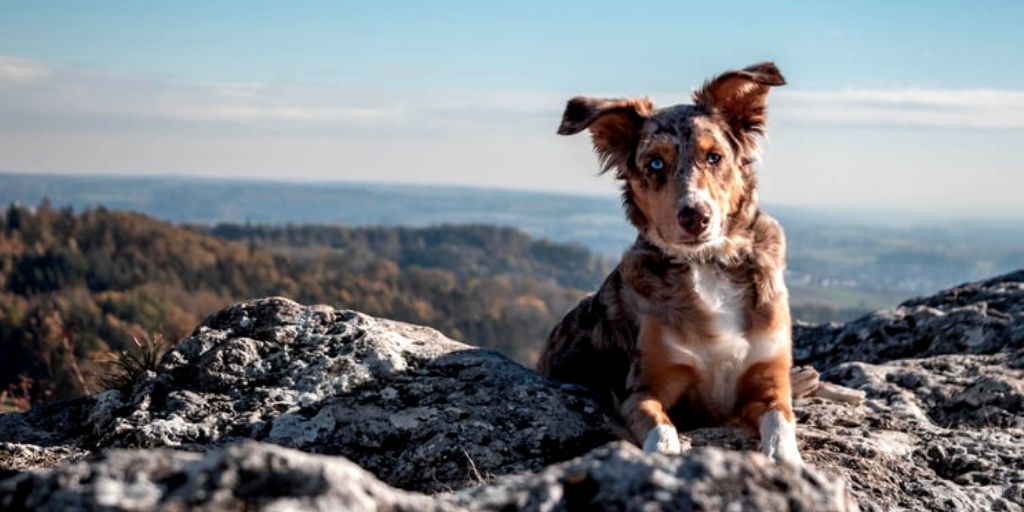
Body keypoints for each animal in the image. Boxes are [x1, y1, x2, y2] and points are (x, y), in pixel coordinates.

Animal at [540, 61, 802, 466]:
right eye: (655, 163)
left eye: (714, 157)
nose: (695, 217)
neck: (709, 265)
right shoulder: (642, 389)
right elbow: (662, 428)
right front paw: (665, 454)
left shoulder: (768, 381)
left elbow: (780, 423)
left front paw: (787, 461)